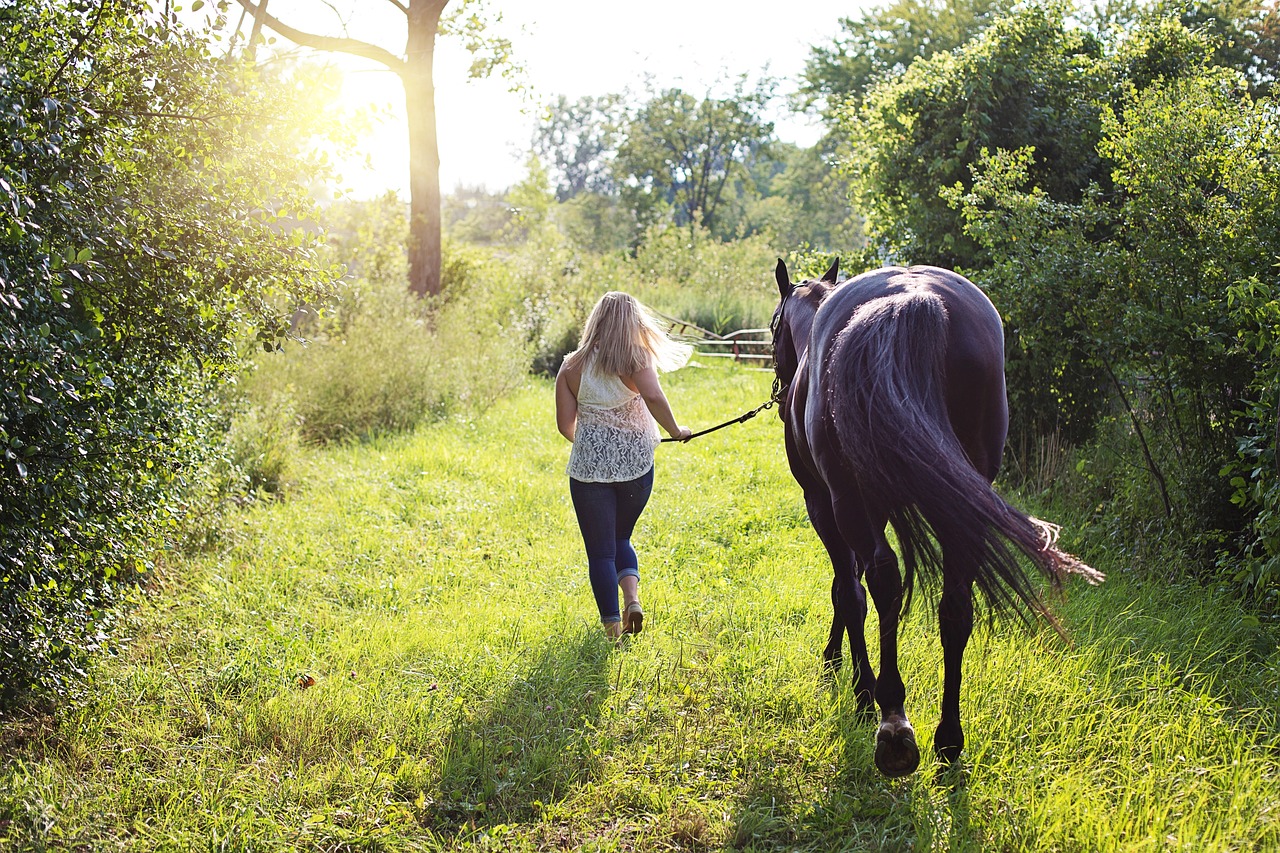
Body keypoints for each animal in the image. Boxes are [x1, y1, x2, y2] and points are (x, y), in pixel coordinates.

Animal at [771, 258, 1103, 777]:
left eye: (772, 328)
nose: (780, 388)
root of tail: (914, 299)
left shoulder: (823, 503)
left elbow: (847, 590)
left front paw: (855, 684)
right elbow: (850, 586)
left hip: (849, 502)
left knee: (882, 582)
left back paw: (892, 723)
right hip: (959, 505)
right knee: (955, 608)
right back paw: (948, 738)